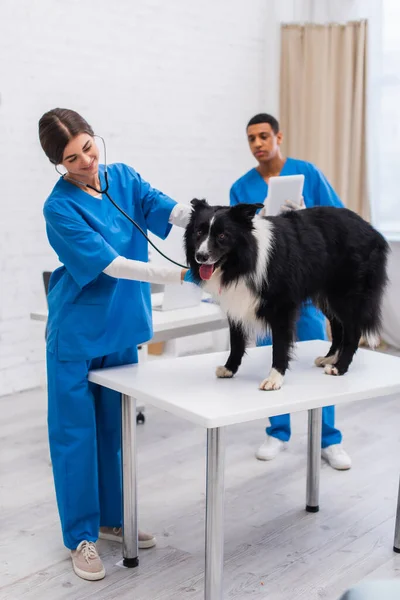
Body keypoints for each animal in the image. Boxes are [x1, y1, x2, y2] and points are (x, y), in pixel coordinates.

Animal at [184, 199, 388, 392]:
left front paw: (275, 378)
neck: (243, 261)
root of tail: (374, 232)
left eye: (222, 235)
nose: (200, 256)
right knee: (338, 325)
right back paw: (330, 358)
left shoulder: (282, 306)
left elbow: (280, 344)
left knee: (353, 331)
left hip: (345, 294)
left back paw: (339, 367)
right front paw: (229, 369)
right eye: (199, 232)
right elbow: (236, 341)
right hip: (327, 295)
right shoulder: (236, 302)